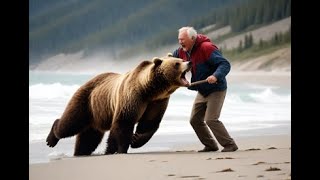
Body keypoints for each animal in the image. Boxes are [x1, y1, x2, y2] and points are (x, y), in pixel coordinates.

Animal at [46, 54, 191, 155]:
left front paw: (136, 140)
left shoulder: (157, 102)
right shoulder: (132, 97)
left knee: (88, 138)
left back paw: (80, 152)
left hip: (96, 114)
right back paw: (51, 138)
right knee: (71, 123)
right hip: (86, 101)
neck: (149, 90)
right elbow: (124, 122)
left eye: (181, 59)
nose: (189, 62)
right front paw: (120, 149)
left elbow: (149, 123)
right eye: (177, 63)